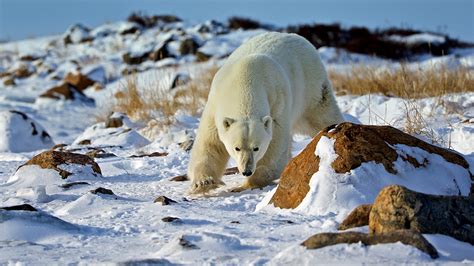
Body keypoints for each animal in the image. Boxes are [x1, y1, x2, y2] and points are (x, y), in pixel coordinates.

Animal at [187, 31, 342, 193]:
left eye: (256, 148)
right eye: (236, 148)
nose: (246, 171)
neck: (245, 82)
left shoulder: (278, 101)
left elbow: (275, 143)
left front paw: (247, 184)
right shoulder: (216, 103)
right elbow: (211, 143)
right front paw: (203, 182)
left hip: (310, 87)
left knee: (321, 114)